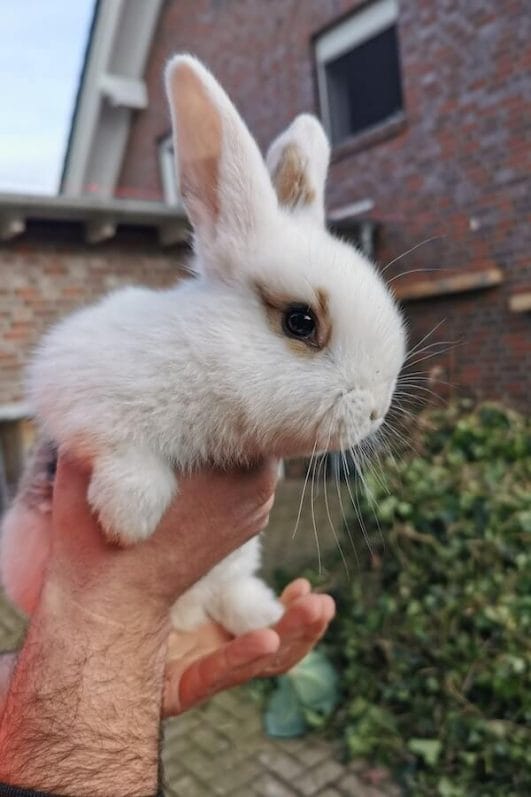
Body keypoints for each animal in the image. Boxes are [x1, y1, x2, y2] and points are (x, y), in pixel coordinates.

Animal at [0, 55, 406, 635]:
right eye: (301, 321)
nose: (376, 410)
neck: (207, 362)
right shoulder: (72, 382)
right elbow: (118, 443)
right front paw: (128, 518)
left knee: (229, 592)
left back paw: (263, 617)